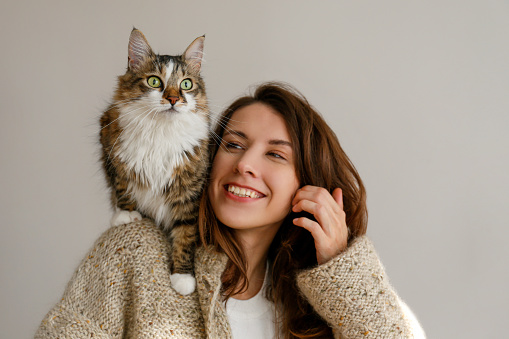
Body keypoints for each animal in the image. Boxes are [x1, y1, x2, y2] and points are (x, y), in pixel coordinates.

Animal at [99, 28, 208, 294]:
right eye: (154, 82)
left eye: (186, 84)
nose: (173, 99)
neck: (161, 131)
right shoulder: (109, 141)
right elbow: (121, 184)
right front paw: (126, 215)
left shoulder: (189, 189)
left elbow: (185, 235)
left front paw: (183, 277)